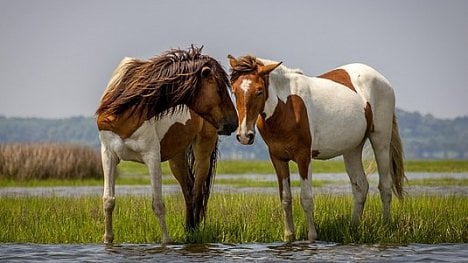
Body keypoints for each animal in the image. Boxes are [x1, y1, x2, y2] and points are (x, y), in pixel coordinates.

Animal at [95, 46, 238, 245]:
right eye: (219, 89)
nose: (233, 123)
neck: (125, 110)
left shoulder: (152, 156)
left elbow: (158, 203)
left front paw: (166, 241)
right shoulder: (108, 155)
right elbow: (108, 200)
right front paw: (108, 240)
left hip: (203, 150)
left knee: (197, 193)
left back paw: (194, 233)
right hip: (177, 157)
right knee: (188, 190)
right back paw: (189, 231)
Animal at [229, 54, 404, 242]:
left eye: (259, 91)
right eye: (234, 91)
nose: (244, 135)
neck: (286, 108)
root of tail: (382, 80)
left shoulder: (304, 157)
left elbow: (306, 198)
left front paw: (312, 237)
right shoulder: (278, 158)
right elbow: (286, 198)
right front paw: (289, 236)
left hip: (381, 141)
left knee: (385, 186)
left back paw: (386, 226)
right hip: (352, 148)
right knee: (360, 187)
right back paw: (353, 228)